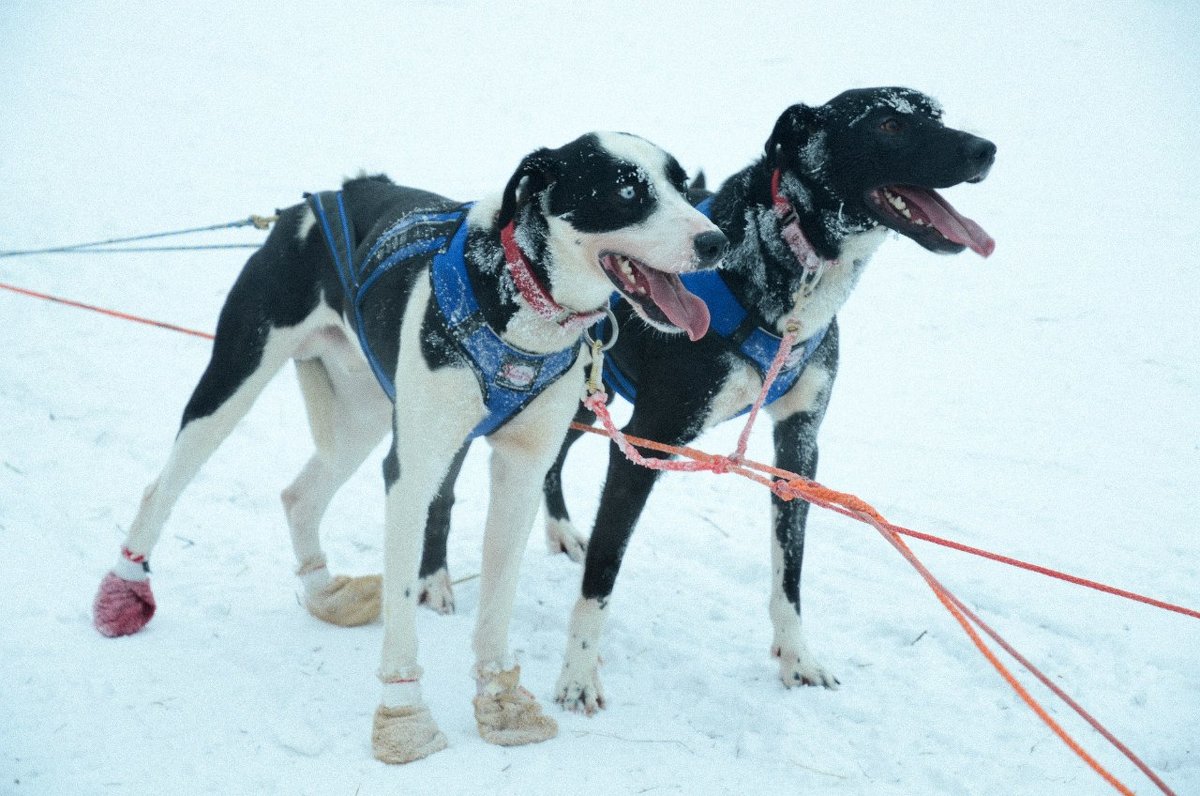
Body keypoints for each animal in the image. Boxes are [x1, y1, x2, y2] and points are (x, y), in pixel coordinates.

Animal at [91, 132, 720, 768]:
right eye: (626, 191)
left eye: (684, 187)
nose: (715, 242)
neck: (517, 303)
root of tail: (324, 197)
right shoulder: (412, 474)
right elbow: (403, 604)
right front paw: (405, 718)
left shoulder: (520, 473)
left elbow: (497, 602)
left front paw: (500, 702)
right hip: (235, 381)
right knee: (163, 486)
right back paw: (125, 589)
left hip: (360, 419)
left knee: (298, 495)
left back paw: (327, 594)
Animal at [417, 87, 998, 715]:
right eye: (889, 124)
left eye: (935, 114)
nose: (985, 149)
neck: (784, 270)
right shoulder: (645, 443)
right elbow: (603, 573)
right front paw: (578, 676)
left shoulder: (798, 445)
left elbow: (789, 569)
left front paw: (797, 657)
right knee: (443, 491)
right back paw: (435, 579)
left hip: (583, 397)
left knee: (553, 462)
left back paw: (562, 531)